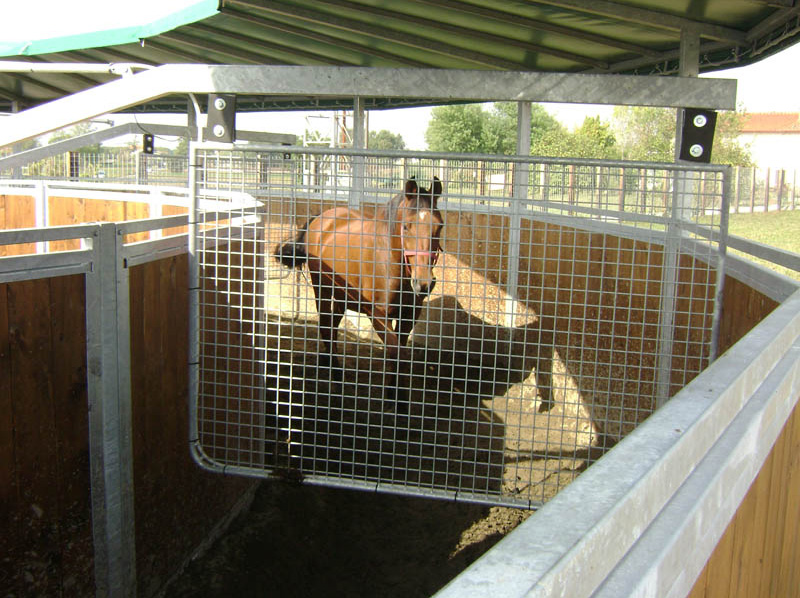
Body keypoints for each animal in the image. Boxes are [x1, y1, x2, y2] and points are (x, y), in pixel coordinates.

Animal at [274, 178, 438, 400]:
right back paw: (336, 376)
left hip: (342, 296)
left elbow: (401, 353)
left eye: (439, 226)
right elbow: (395, 352)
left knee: (333, 326)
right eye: (406, 226)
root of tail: (321, 218)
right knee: (325, 325)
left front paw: (396, 395)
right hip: (322, 289)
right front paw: (396, 399)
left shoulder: (409, 315)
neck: (389, 260)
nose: (424, 283)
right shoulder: (379, 316)